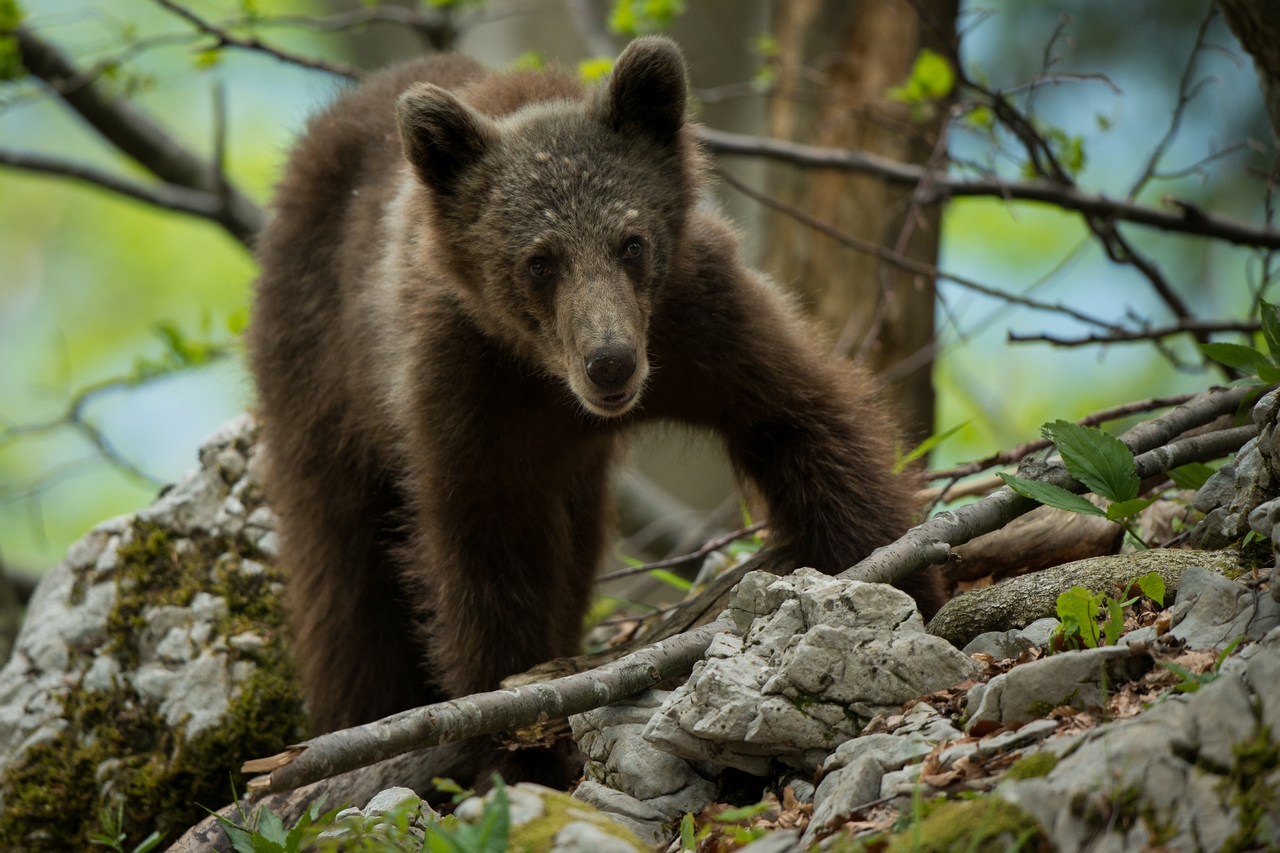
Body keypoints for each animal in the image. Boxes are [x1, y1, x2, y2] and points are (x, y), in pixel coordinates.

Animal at [248, 36, 944, 786]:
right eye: (539, 260)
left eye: (630, 241)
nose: (610, 361)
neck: (549, 381)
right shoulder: (466, 387)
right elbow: (484, 552)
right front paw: (515, 739)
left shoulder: (697, 322)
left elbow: (802, 418)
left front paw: (900, 581)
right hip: (320, 370)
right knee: (344, 572)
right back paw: (359, 712)